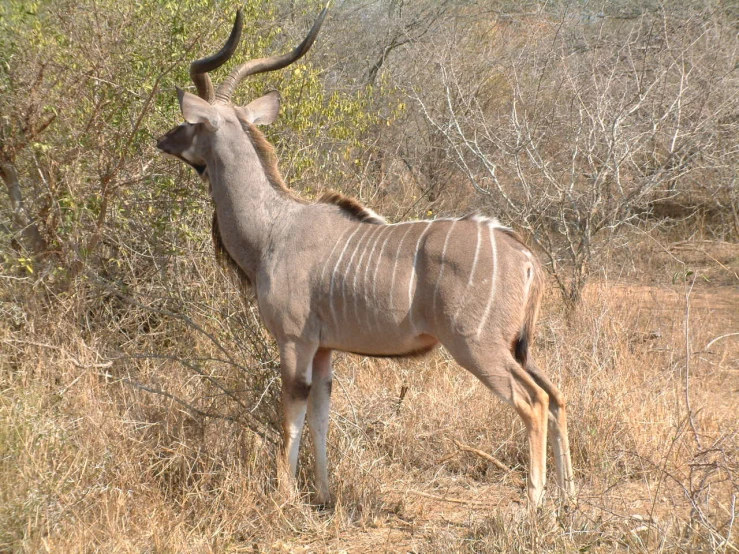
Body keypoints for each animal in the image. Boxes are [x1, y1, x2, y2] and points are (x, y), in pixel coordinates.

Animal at [155, 6, 572, 506]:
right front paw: (323, 495)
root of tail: (524, 255)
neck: (274, 226)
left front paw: (285, 497)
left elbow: (290, 419)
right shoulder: (323, 350)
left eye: (192, 123)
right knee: (558, 396)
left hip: (478, 347)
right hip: (519, 349)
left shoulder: (294, 342)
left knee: (534, 402)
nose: (162, 139)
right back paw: (569, 496)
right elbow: (320, 418)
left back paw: (534, 502)